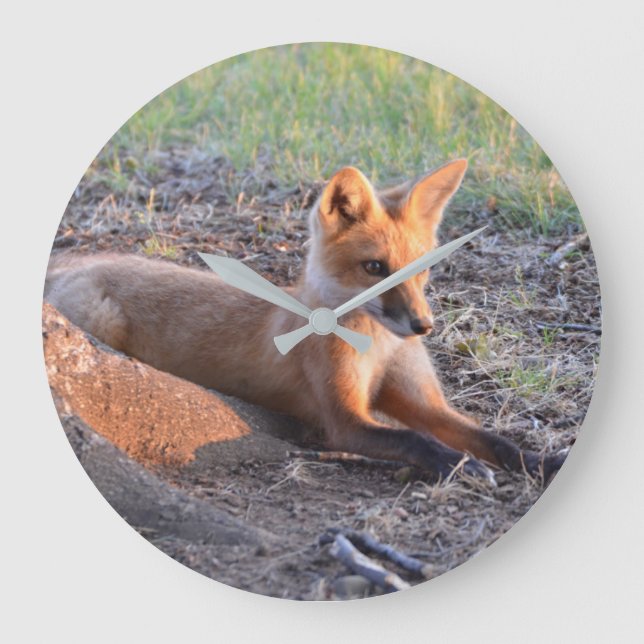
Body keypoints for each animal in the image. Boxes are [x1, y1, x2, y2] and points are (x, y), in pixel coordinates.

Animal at [45, 159, 565, 484]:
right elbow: (415, 440)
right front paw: (459, 466)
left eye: (420, 270)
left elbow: (494, 440)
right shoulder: (344, 421)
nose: (423, 327)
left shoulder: (425, 404)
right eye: (375, 267)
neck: (377, 349)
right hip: (100, 323)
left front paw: (544, 461)